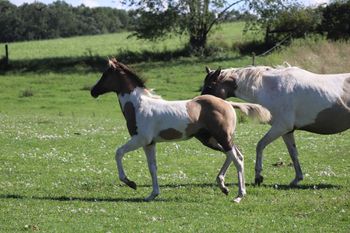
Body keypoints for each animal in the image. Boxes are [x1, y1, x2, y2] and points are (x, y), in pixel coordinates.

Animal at [90, 58, 270, 202]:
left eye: (105, 75)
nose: (93, 91)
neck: (138, 105)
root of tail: (227, 103)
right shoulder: (149, 143)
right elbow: (152, 167)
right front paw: (152, 194)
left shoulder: (140, 139)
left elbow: (118, 153)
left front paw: (131, 183)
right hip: (211, 139)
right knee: (235, 154)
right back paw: (223, 186)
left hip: (222, 137)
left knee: (237, 159)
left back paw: (239, 195)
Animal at [202, 64, 350, 187]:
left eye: (209, 86)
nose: (201, 102)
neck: (270, 87)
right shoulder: (287, 131)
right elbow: (293, 154)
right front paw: (297, 179)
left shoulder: (281, 127)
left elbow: (260, 145)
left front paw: (258, 177)